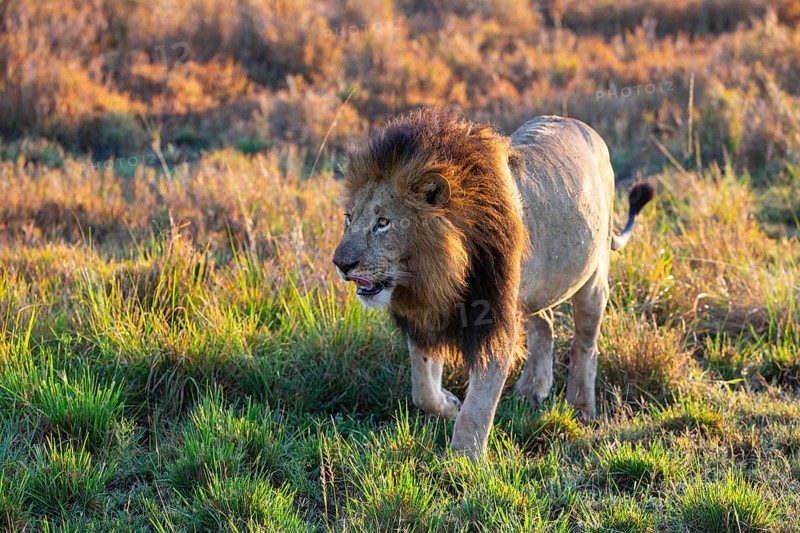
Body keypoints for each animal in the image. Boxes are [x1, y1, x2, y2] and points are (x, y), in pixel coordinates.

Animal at [332, 108, 654, 459]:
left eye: (382, 223)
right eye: (349, 218)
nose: (341, 264)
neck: (434, 275)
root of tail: (586, 129)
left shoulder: (494, 318)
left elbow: (478, 405)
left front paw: (463, 460)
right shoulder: (428, 317)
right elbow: (423, 389)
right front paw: (449, 405)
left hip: (592, 275)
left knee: (584, 344)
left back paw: (581, 406)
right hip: (530, 290)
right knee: (545, 323)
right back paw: (533, 389)